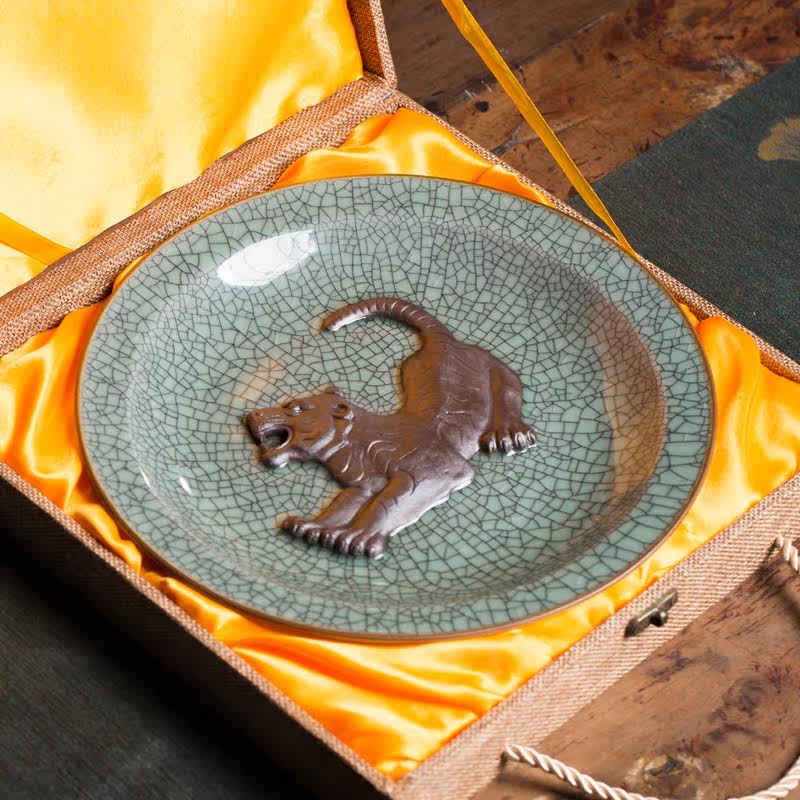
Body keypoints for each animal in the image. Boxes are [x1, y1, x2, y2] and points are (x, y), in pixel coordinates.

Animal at [244, 297, 535, 559]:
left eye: (294, 407)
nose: (254, 414)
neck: (350, 445)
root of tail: (441, 340)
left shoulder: (438, 470)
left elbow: (387, 504)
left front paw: (356, 538)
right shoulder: (363, 484)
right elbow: (342, 506)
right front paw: (314, 527)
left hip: (491, 365)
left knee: (509, 386)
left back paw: (510, 434)